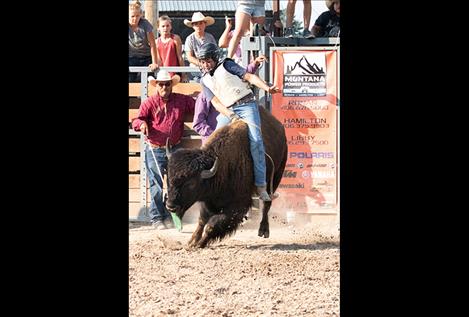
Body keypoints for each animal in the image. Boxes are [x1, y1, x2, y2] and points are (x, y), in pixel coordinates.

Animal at [166, 106, 288, 247]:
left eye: (191, 183)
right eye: (169, 178)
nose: (170, 206)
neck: (220, 167)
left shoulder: (237, 206)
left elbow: (212, 225)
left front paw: (200, 244)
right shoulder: (209, 201)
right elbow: (202, 220)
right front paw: (192, 242)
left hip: (276, 176)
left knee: (267, 203)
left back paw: (264, 231)